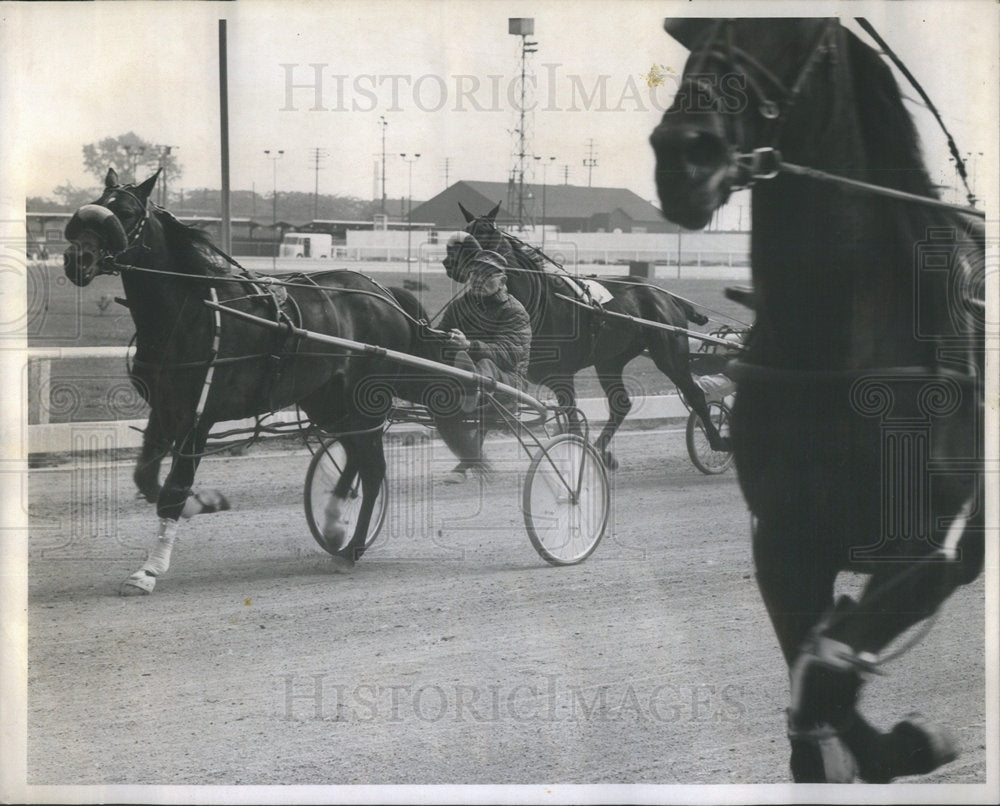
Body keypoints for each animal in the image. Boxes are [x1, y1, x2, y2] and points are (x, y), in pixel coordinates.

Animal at [63, 167, 484, 592]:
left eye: (127, 213)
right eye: (94, 205)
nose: (76, 259)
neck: (191, 310)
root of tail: (385, 295)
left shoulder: (199, 417)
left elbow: (172, 491)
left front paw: (149, 570)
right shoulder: (166, 408)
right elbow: (147, 479)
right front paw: (202, 503)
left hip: (365, 401)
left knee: (373, 469)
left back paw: (351, 549)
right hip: (329, 401)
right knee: (355, 458)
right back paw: (335, 521)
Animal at [450, 205, 732, 470]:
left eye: (485, 232)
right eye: (464, 230)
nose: (451, 261)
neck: (540, 304)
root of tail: (667, 296)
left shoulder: (562, 376)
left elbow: (572, 424)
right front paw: (467, 463)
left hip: (670, 354)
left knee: (695, 394)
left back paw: (717, 441)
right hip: (610, 361)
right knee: (621, 404)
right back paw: (600, 450)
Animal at [648, 19, 984, 784]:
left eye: (791, 27)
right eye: (694, 26)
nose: (684, 155)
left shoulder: (938, 548)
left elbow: (829, 665)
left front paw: (904, 742)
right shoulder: (781, 537)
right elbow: (814, 664)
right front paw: (863, 747)